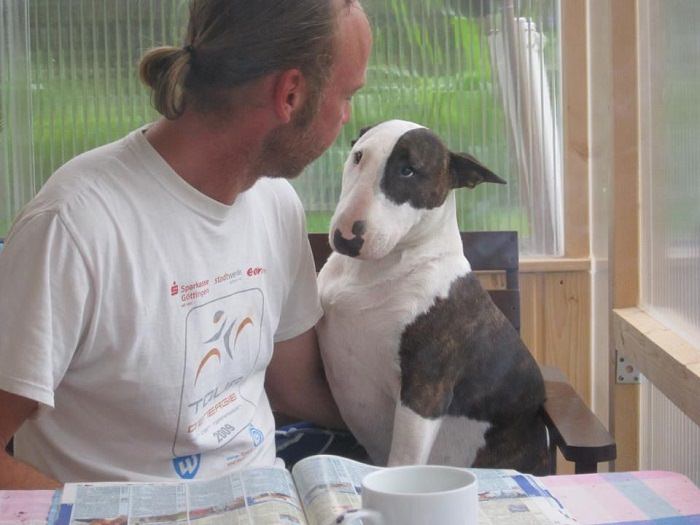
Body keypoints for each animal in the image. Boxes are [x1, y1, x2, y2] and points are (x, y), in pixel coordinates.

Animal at [318, 121, 552, 472]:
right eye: (358, 156)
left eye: (409, 170)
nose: (346, 237)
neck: (374, 270)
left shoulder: (425, 388)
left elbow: (403, 460)